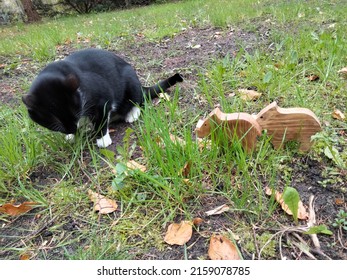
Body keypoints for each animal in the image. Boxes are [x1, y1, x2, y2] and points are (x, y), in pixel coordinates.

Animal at [22, 48, 184, 148]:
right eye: (55, 122)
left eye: (74, 114)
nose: (72, 129)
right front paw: (72, 136)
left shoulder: (103, 99)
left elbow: (101, 118)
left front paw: (102, 139)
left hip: (131, 81)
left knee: (138, 100)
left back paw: (132, 114)